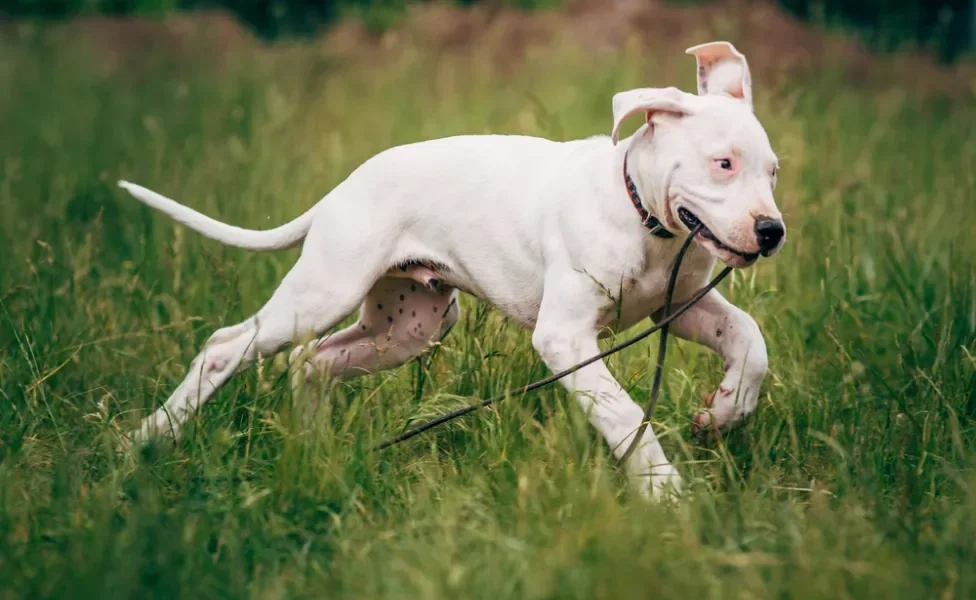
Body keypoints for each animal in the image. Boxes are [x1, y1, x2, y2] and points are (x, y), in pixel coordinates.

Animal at [118, 42, 784, 496]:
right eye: (723, 163)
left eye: (773, 171)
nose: (772, 231)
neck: (643, 216)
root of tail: (343, 187)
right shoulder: (566, 338)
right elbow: (625, 415)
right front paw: (663, 491)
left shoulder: (679, 306)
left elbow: (749, 339)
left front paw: (724, 412)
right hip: (325, 292)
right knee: (225, 347)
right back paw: (144, 441)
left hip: (409, 326)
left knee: (314, 361)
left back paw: (313, 449)